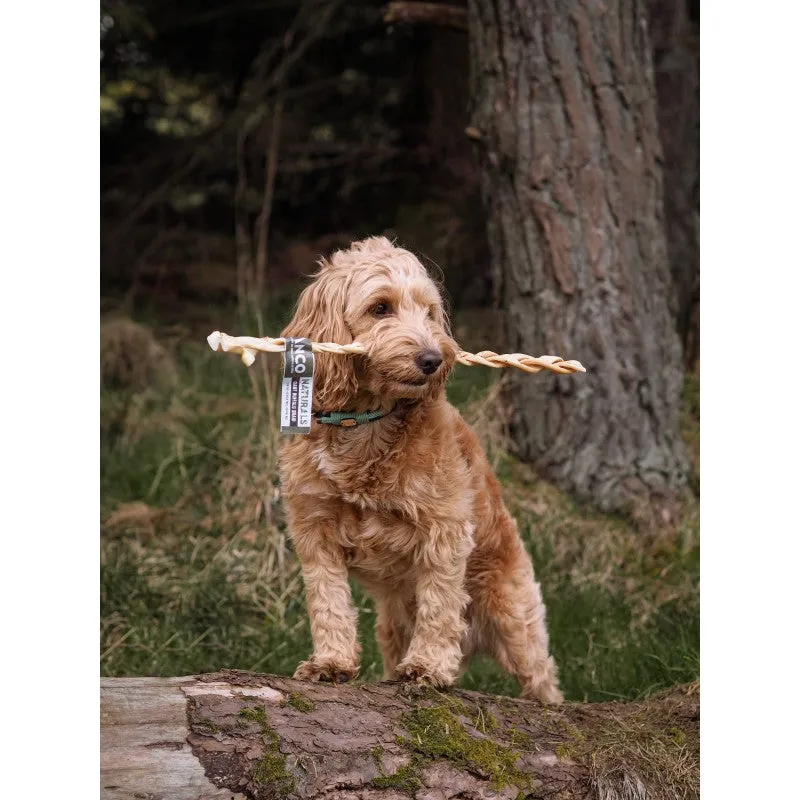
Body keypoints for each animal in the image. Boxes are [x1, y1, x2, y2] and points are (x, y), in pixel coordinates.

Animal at [280, 234, 564, 704]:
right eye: (380, 308)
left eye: (430, 312)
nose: (433, 359)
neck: (366, 426)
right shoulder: (315, 532)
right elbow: (328, 600)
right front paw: (331, 662)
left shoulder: (444, 531)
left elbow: (440, 603)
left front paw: (428, 667)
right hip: (393, 624)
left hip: (512, 617)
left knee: (542, 677)